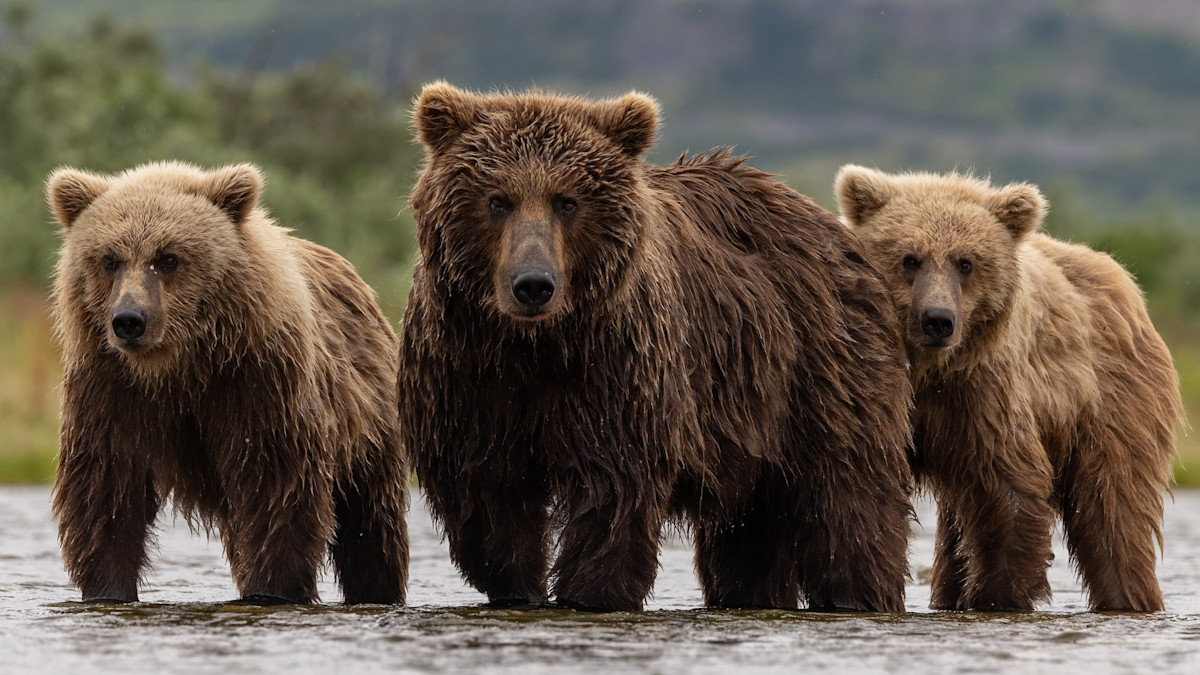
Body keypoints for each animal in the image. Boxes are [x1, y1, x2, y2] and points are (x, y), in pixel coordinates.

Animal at [47, 161, 409, 605]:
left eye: (168, 258)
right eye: (108, 259)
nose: (129, 320)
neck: (179, 366)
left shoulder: (256, 385)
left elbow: (276, 488)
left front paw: (272, 588)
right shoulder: (110, 390)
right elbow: (107, 489)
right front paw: (108, 588)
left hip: (367, 421)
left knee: (371, 523)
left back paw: (377, 588)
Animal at [397, 82, 915, 612]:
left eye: (568, 201)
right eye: (497, 199)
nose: (534, 285)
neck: (538, 344)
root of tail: (828, 225)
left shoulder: (617, 367)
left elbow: (612, 487)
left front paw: (592, 590)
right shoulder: (468, 373)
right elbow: (489, 494)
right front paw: (519, 585)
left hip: (821, 368)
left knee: (848, 496)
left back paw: (859, 594)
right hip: (754, 415)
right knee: (752, 530)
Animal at [835, 165, 1185, 611]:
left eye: (966, 262)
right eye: (909, 258)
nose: (938, 320)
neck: (929, 371)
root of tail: (1128, 288)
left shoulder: (983, 393)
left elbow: (1010, 487)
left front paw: (997, 594)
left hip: (1111, 401)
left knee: (1115, 507)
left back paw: (1129, 597)